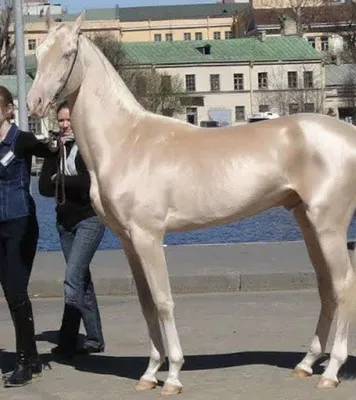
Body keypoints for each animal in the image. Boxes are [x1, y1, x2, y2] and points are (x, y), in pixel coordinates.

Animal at [27, 10, 356, 396]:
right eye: (38, 53)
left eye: (68, 53)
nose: (33, 103)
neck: (126, 141)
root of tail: (347, 132)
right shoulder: (128, 241)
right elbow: (146, 303)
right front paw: (150, 372)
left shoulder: (148, 237)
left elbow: (163, 301)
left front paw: (172, 375)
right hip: (308, 224)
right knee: (326, 286)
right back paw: (306, 364)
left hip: (329, 227)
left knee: (343, 285)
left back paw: (331, 371)